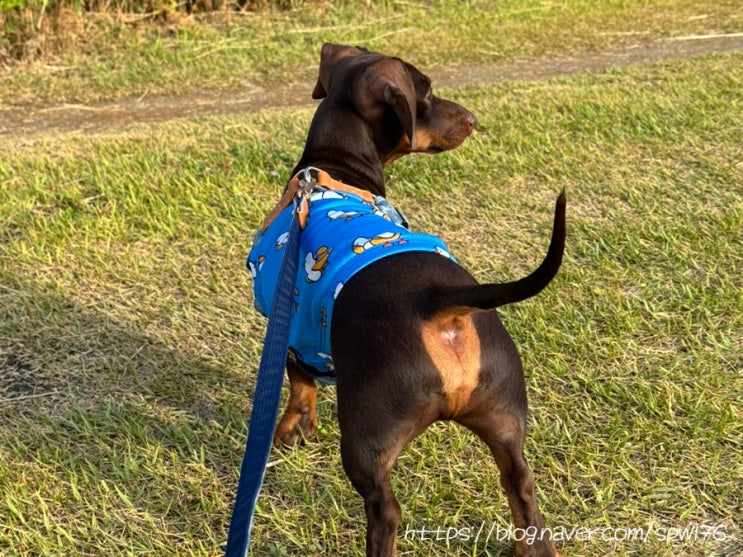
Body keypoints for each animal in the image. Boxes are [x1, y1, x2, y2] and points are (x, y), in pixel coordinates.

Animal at [248, 43, 564, 557]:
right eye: (427, 93)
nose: (474, 119)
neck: (334, 169)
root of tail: (438, 302)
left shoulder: (292, 329)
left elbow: (300, 385)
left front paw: (291, 429)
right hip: (504, 419)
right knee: (522, 486)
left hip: (366, 442)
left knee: (386, 511)